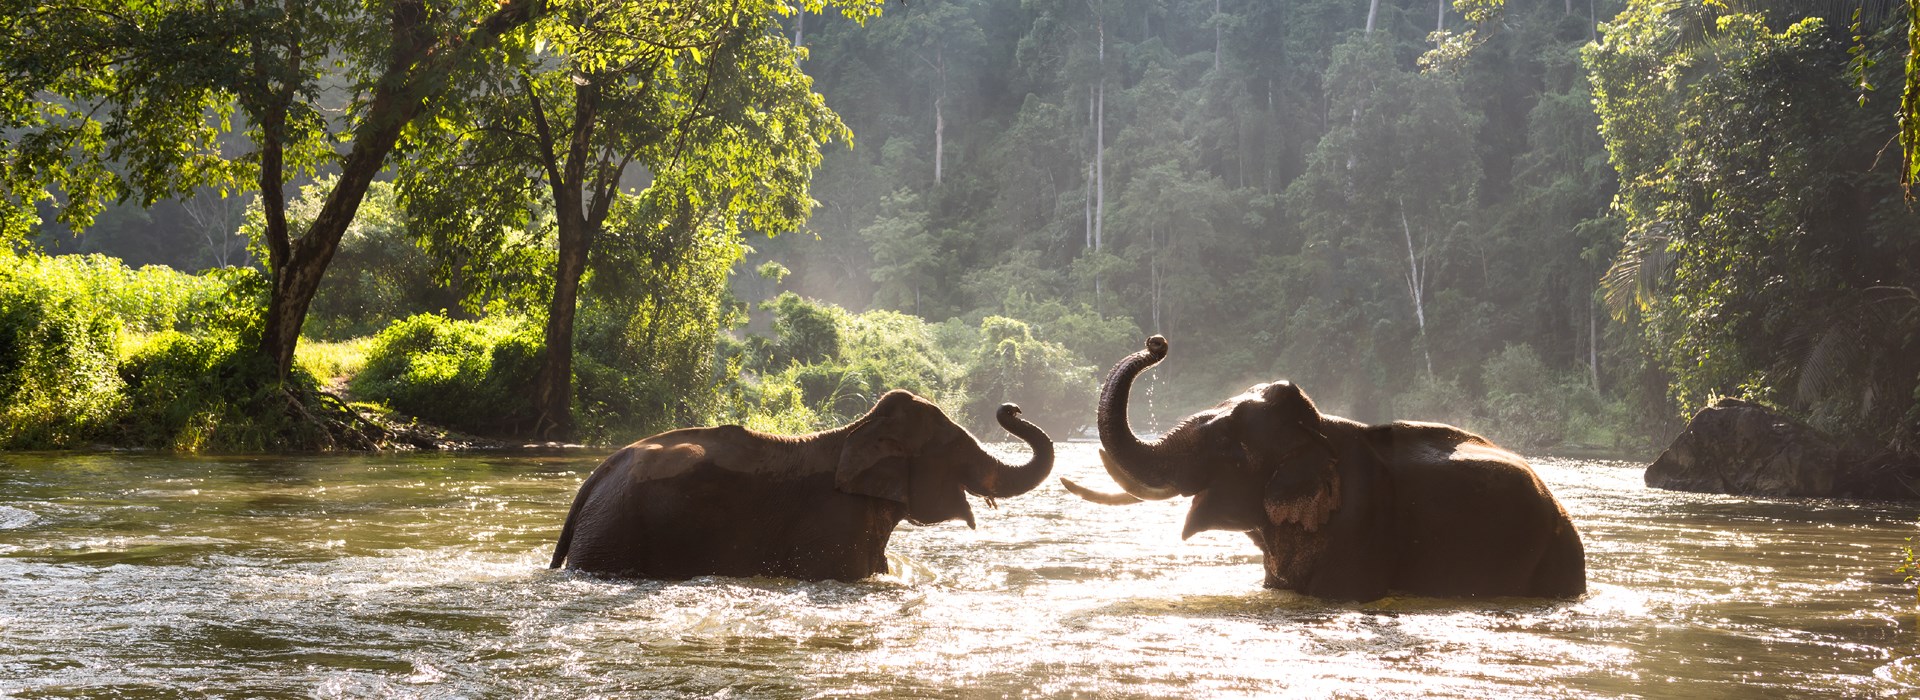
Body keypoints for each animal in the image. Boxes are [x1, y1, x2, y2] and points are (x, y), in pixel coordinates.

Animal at [549, 389, 1052, 579]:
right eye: (953, 447)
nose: (1012, 407)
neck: (857, 430)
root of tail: (596, 477)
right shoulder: (832, 527)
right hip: (615, 535)